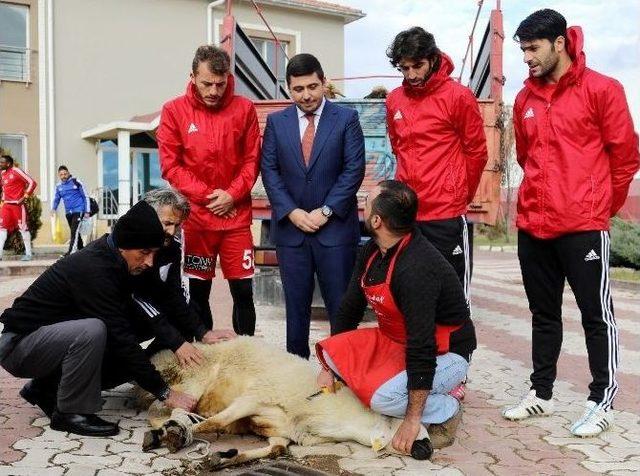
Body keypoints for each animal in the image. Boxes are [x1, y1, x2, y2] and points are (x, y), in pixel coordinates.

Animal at [143, 336, 432, 470]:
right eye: (399, 426)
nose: (429, 449)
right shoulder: (255, 396)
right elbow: (216, 421)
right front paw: (187, 433)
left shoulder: (280, 431)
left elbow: (276, 450)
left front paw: (224, 458)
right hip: (194, 383)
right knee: (172, 408)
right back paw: (173, 432)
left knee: (161, 411)